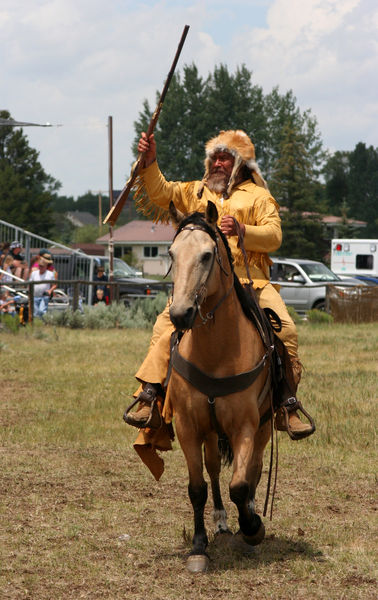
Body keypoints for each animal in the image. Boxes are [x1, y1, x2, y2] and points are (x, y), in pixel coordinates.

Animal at [165, 202, 274, 572]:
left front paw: (253, 528)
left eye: (207, 255)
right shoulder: (187, 425)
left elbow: (240, 484)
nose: (180, 314)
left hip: (264, 425)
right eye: (171, 253)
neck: (216, 351)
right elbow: (196, 487)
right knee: (212, 468)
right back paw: (222, 520)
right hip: (210, 432)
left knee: (253, 470)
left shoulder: (245, 425)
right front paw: (199, 547)